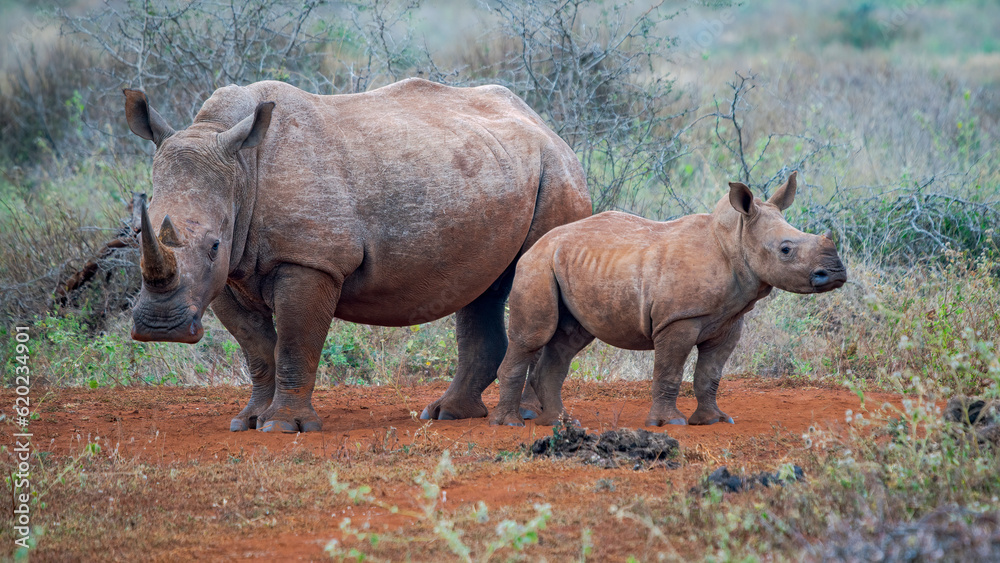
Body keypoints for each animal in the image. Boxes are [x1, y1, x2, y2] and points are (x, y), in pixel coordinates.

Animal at [124, 78, 591, 432]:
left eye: (213, 245)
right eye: (136, 234)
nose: (160, 328)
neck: (241, 168)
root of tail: (550, 130)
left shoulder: (311, 260)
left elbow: (293, 344)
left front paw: (284, 426)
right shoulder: (230, 273)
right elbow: (256, 349)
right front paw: (249, 421)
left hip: (556, 176)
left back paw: (529, 416)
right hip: (497, 170)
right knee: (482, 292)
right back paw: (446, 414)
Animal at [490, 172, 846, 427]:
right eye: (786, 250)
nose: (836, 272)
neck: (733, 241)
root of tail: (537, 244)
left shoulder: (729, 321)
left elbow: (710, 374)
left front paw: (715, 420)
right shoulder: (679, 319)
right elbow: (670, 372)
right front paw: (669, 422)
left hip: (569, 266)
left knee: (567, 341)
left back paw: (561, 423)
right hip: (537, 266)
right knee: (533, 337)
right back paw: (510, 424)